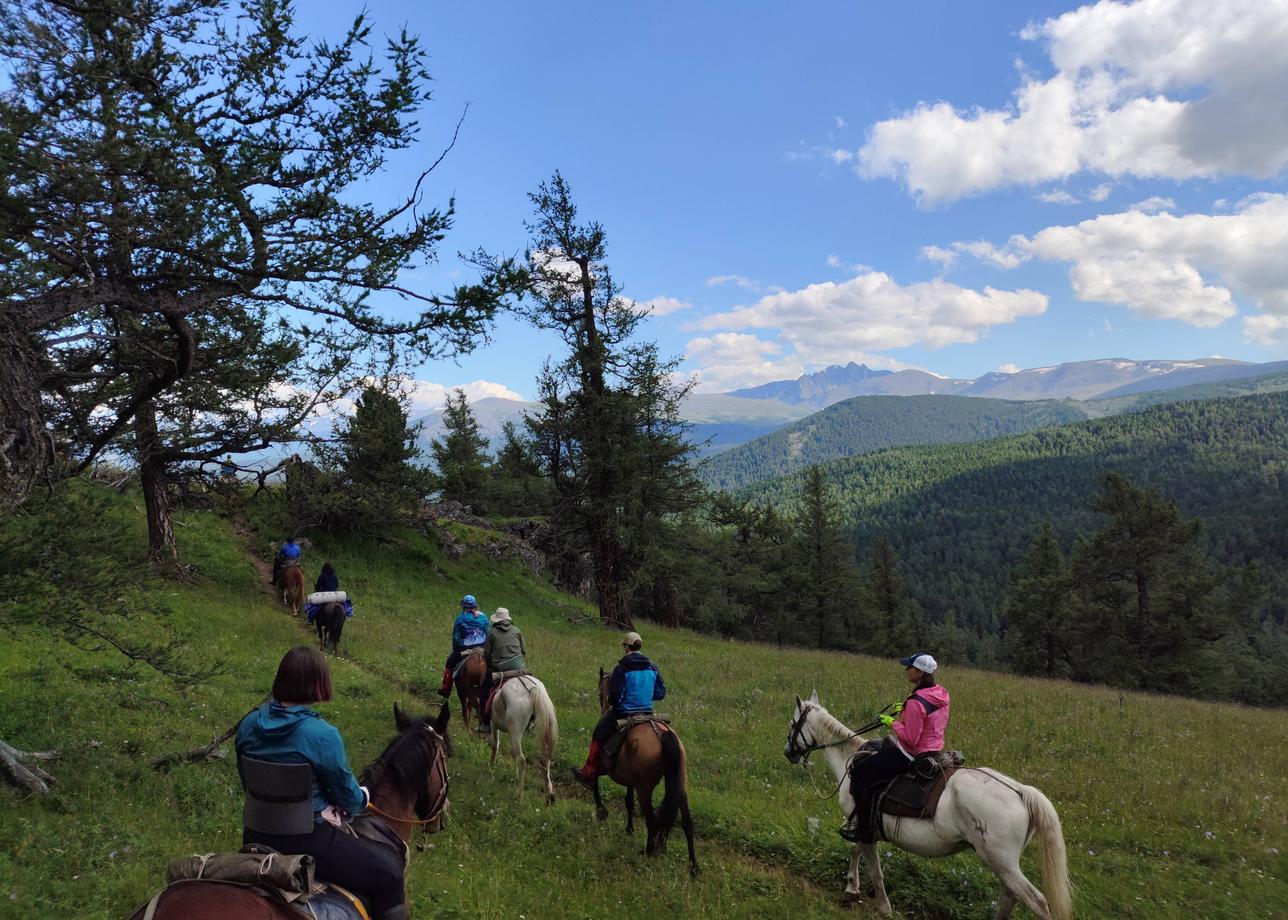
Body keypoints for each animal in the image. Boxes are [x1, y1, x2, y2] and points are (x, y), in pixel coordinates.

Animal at [484, 670, 556, 798]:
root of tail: (534, 689)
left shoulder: (493, 724)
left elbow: (495, 744)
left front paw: (492, 764)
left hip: (515, 731)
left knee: (521, 760)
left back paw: (518, 794)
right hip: (542, 730)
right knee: (546, 759)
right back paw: (548, 789)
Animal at [589, 664, 700, 871]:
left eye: (600, 689)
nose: (602, 702)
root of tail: (661, 735)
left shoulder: (605, 767)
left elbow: (593, 779)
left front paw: (601, 810)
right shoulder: (630, 780)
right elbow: (628, 802)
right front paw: (629, 829)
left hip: (645, 789)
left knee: (652, 819)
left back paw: (649, 851)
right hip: (680, 786)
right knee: (686, 822)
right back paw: (693, 867)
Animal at [783, 690, 1076, 917]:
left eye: (793, 723)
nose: (788, 753)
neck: (851, 759)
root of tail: (1020, 792)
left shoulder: (863, 820)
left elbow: (874, 869)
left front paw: (883, 907)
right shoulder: (864, 824)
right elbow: (856, 851)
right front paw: (852, 888)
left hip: (1000, 860)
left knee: (1036, 902)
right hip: (1003, 864)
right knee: (1009, 896)